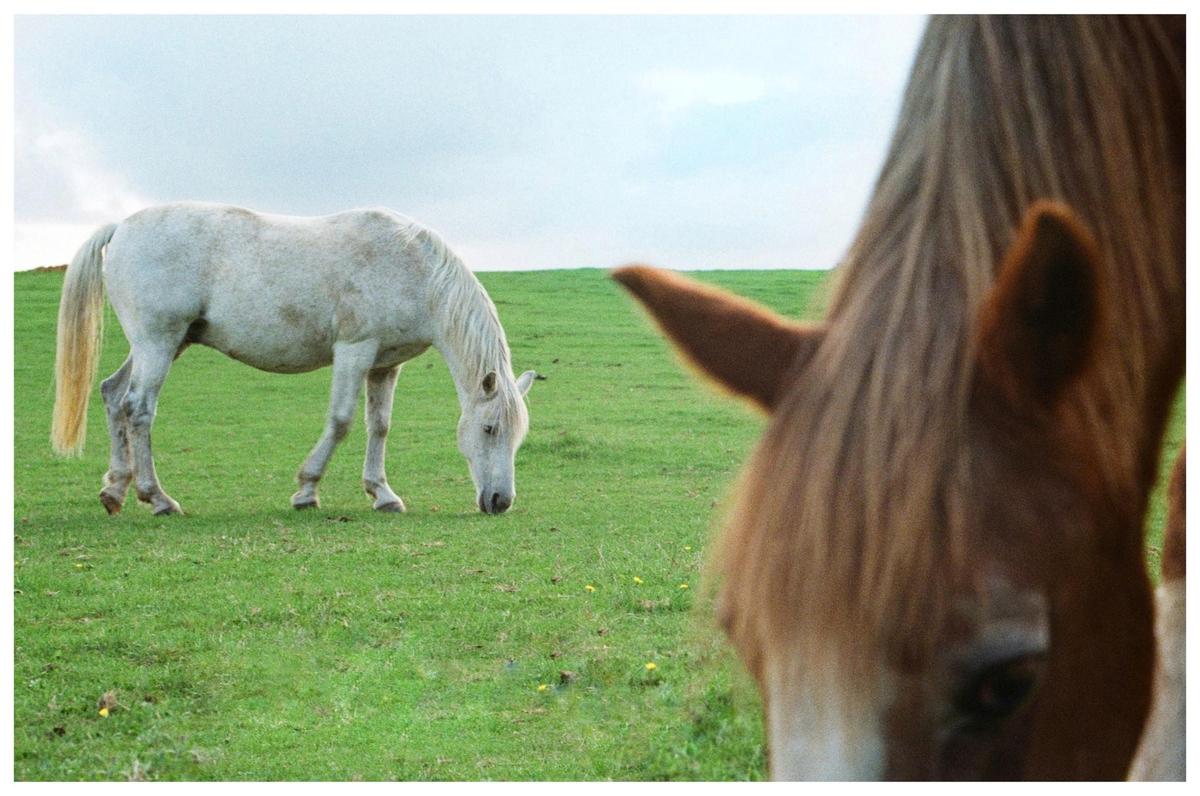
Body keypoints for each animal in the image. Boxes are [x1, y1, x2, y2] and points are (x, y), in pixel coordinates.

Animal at [51, 202, 538, 516]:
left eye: (518, 437)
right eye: (489, 429)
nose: (501, 502)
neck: (411, 270)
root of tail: (122, 227)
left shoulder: (385, 364)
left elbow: (379, 426)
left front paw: (382, 493)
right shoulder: (354, 350)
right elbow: (341, 421)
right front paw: (307, 489)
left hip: (162, 344)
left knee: (113, 395)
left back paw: (115, 489)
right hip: (157, 342)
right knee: (138, 409)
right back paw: (157, 498)